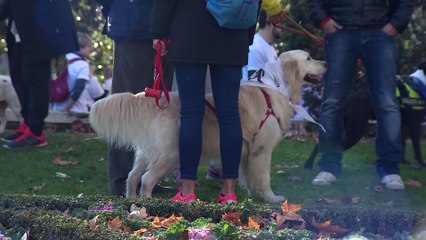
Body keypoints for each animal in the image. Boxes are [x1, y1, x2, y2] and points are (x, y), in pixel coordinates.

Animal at [90, 50, 328, 202]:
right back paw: (148, 204)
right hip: (170, 154)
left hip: (147, 153)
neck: (274, 84)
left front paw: (249, 194)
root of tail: (158, 100)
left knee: (132, 177)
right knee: (146, 179)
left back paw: (131, 202)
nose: (326, 63)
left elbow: (246, 174)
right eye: (309, 57)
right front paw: (272, 198)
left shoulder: (245, 149)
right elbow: (264, 178)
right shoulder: (262, 148)